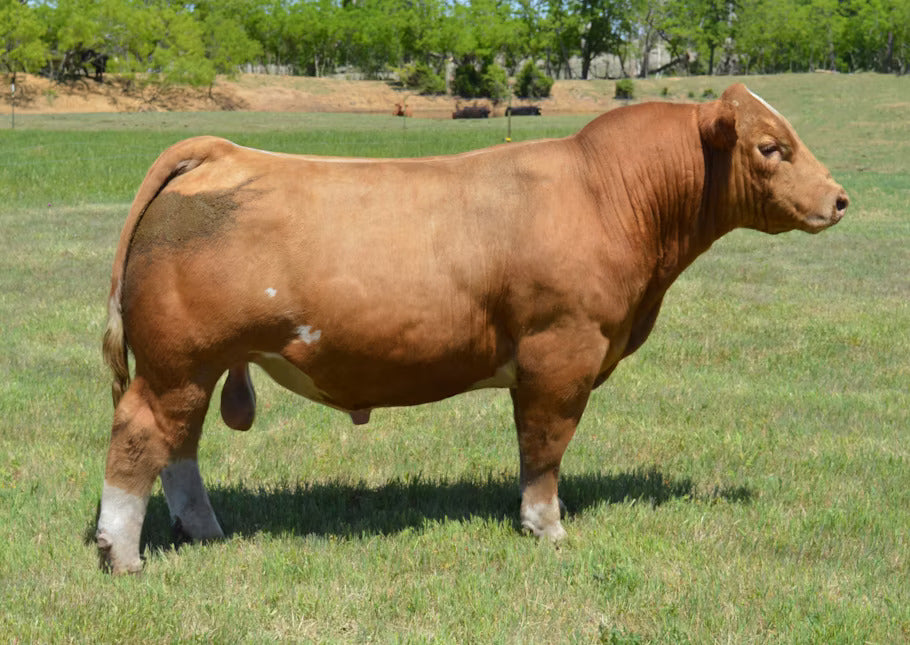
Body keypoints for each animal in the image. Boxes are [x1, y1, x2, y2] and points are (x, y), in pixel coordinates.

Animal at [97, 84, 848, 573]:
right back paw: (121, 553)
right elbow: (544, 445)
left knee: (180, 448)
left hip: (193, 367)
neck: (604, 193)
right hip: (176, 361)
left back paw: (203, 531)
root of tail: (221, 150)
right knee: (139, 437)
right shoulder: (561, 351)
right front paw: (546, 528)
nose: (839, 198)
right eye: (771, 147)